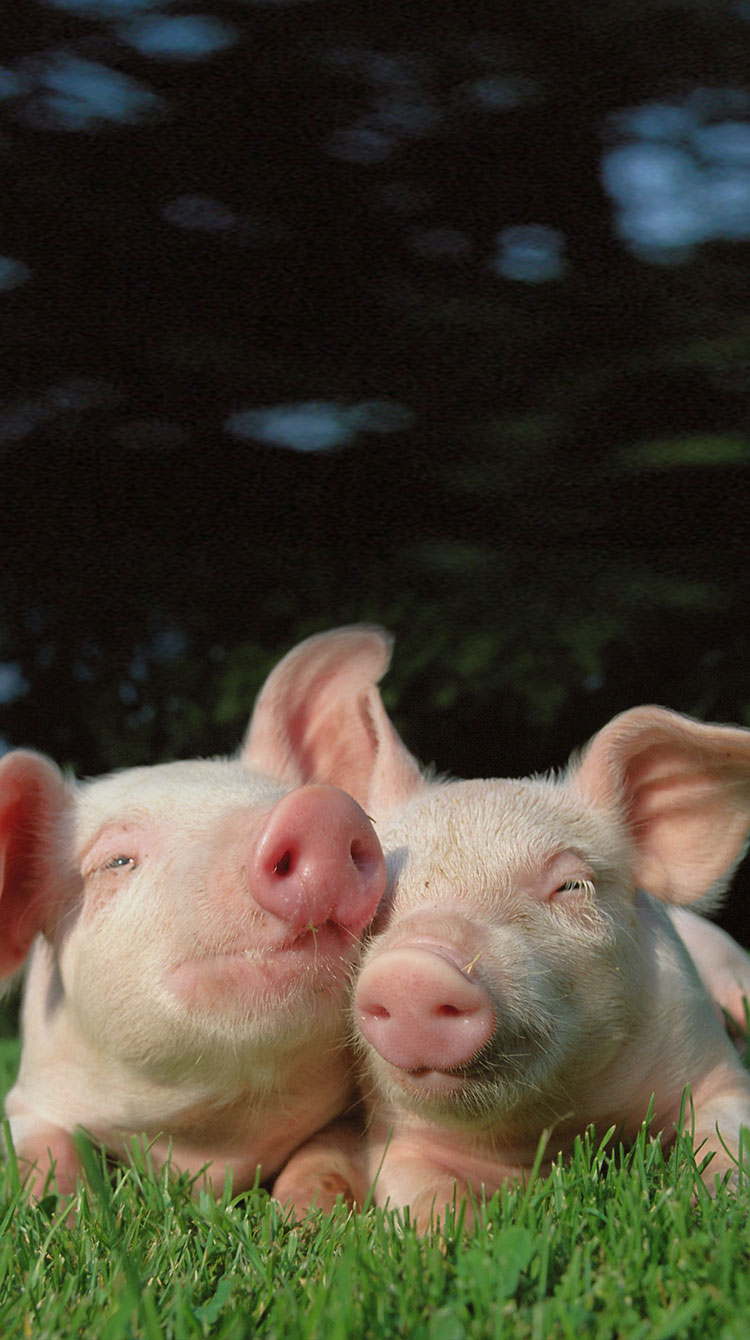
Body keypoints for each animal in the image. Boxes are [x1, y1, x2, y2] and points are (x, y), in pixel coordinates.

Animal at [0, 627, 391, 1201]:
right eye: (117, 861)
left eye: (287, 796)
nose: (320, 810)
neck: (208, 1142)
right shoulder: (28, 1096)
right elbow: (44, 1155)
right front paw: (59, 1206)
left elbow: (324, 1154)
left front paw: (306, 1213)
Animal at [272, 629, 750, 1227]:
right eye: (375, 896)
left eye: (571, 886)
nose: (413, 969)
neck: (553, 1131)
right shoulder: (397, 1139)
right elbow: (422, 1196)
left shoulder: (713, 1064)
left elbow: (727, 1136)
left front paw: (709, 1203)